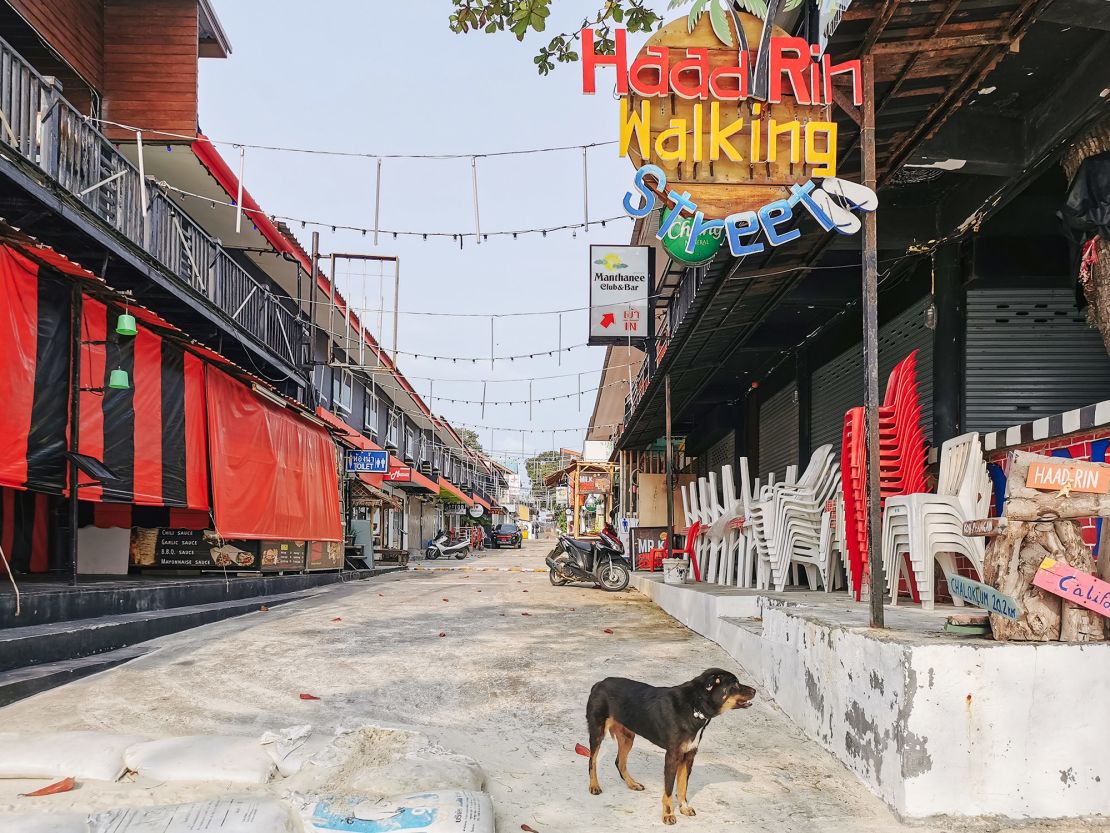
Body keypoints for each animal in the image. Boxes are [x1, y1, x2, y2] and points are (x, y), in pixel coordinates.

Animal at [581, 670, 754, 826]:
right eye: (735, 684)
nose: (755, 691)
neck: (694, 706)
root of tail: (599, 683)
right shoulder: (672, 756)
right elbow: (669, 789)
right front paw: (668, 815)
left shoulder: (689, 755)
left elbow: (683, 787)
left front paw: (684, 808)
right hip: (597, 732)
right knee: (592, 761)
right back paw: (594, 786)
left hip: (627, 737)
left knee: (619, 762)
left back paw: (632, 784)